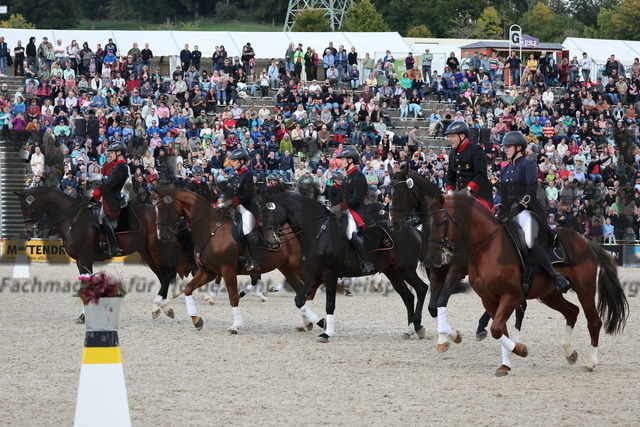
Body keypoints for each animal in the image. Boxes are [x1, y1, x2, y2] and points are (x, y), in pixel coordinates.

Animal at [14, 188, 196, 321]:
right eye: (21, 208)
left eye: (28, 207)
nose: (28, 232)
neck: (73, 220)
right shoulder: (81, 261)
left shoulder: (84, 260)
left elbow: (87, 286)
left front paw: (84, 316)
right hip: (147, 253)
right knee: (163, 276)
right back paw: (162, 308)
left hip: (157, 250)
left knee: (167, 275)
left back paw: (162, 305)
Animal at [263, 191, 430, 343]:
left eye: (269, 214)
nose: (270, 242)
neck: (318, 232)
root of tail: (413, 229)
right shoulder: (316, 275)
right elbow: (299, 300)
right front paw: (321, 323)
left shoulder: (329, 274)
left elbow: (330, 304)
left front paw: (327, 333)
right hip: (393, 271)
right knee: (408, 297)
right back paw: (409, 330)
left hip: (406, 269)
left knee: (421, 289)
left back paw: (418, 327)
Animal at [388, 165, 526, 348]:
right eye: (389, 193)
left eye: (402, 193)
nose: (394, 224)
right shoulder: (435, 271)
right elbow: (433, 306)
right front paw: (449, 334)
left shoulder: (457, 270)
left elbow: (441, 301)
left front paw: (447, 334)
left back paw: (486, 328)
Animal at [425, 193, 628, 375]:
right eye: (427, 223)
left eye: (442, 221)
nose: (432, 257)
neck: (488, 250)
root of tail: (584, 240)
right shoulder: (488, 300)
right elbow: (500, 330)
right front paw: (505, 365)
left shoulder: (511, 296)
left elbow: (496, 330)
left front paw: (520, 350)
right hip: (550, 295)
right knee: (572, 312)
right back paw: (570, 352)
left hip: (585, 289)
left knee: (594, 322)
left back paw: (591, 362)